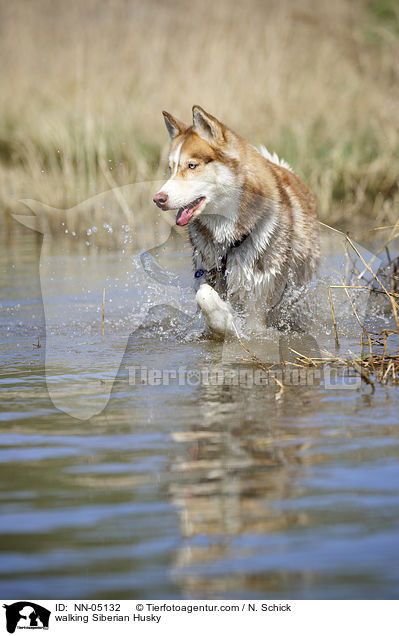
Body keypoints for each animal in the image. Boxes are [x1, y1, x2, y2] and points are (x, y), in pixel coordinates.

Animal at [153, 107, 318, 336]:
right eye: (171, 169)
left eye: (192, 165)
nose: (158, 199)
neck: (230, 241)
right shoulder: (207, 274)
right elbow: (204, 294)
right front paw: (225, 321)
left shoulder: (258, 297)